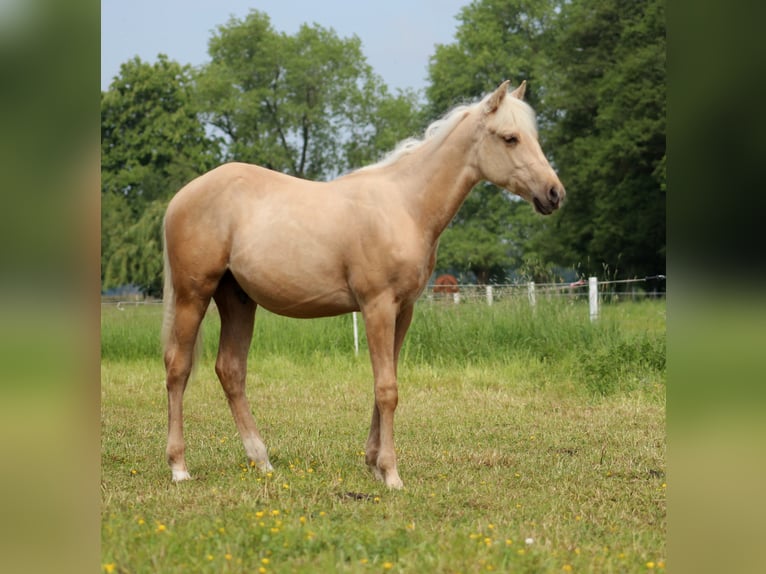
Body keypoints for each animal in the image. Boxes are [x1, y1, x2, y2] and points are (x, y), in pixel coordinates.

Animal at [164, 81, 564, 490]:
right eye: (510, 138)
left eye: (533, 136)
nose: (554, 194)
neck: (405, 206)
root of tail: (182, 196)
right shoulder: (377, 307)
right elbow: (387, 389)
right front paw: (391, 474)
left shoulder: (403, 311)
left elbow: (385, 384)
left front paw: (373, 463)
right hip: (193, 296)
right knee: (178, 368)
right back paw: (179, 466)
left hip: (237, 299)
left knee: (231, 371)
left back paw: (261, 460)